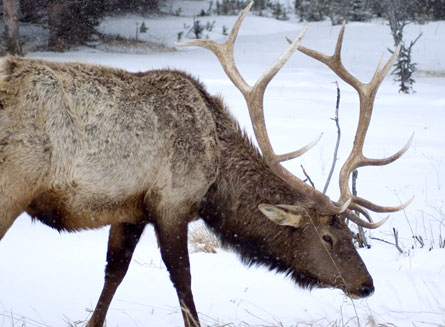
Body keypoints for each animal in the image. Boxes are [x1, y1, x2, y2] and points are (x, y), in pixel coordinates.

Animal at [0, 2, 410, 327]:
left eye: (349, 232)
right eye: (328, 236)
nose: (366, 285)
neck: (216, 179)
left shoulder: (130, 207)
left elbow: (114, 272)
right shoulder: (172, 201)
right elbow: (183, 279)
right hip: (13, 184)